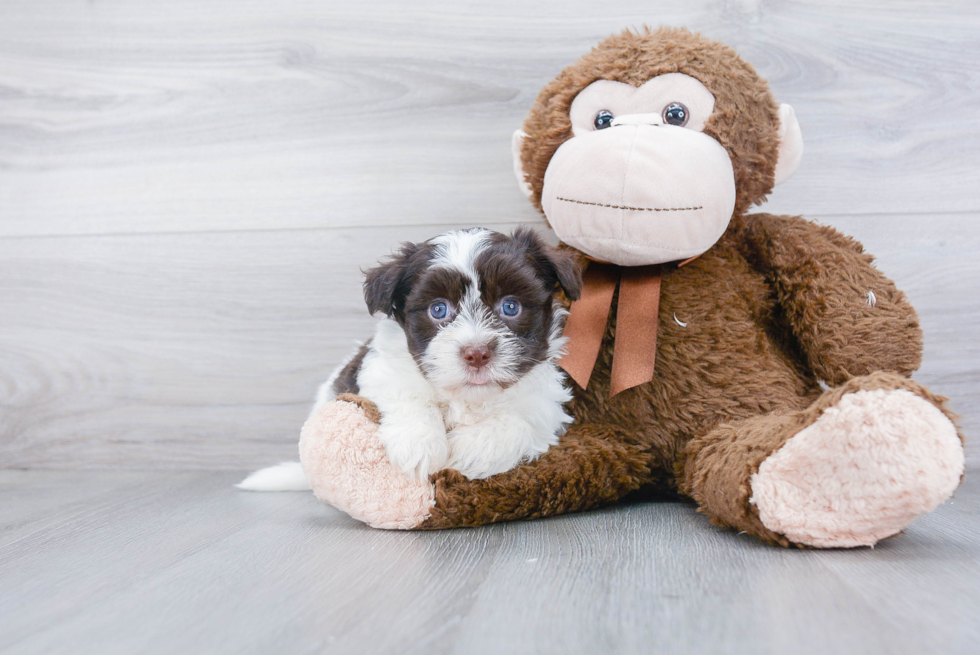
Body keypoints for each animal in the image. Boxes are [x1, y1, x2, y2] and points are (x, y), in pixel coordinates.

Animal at [318, 228, 580, 480]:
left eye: (510, 306)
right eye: (438, 309)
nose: (477, 354)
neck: (468, 397)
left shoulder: (545, 401)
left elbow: (523, 420)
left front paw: (472, 448)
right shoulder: (381, 369)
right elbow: (406, 393)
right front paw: (418, 444)